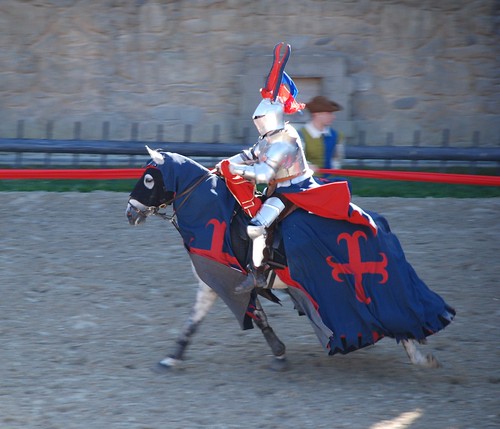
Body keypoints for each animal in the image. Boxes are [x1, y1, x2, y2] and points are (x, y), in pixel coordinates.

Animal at [125, 148, 454, 372]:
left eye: (149, 178)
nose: (130, 213)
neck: (210, 213)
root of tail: (376, 224)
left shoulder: (221, 281)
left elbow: (248, 318)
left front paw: (279, 353)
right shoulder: (220, 284)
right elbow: (199, 322)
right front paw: (172, 358)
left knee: (399, 317)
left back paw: (421, 357)